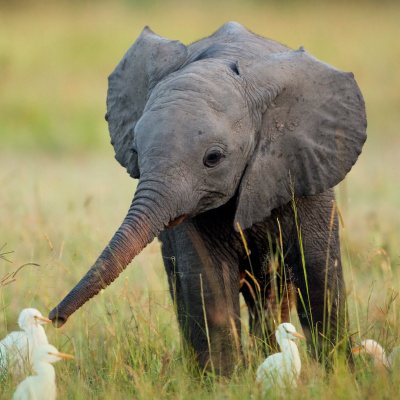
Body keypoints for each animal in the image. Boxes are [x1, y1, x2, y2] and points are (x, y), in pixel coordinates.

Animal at [50, 20, 366, 374]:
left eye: (213, 158)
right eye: (135, 151)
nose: (54, 319)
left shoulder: (304, 168)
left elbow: (318, 272)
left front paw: (340, 376)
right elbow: (207, 279)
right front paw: (224, 381)